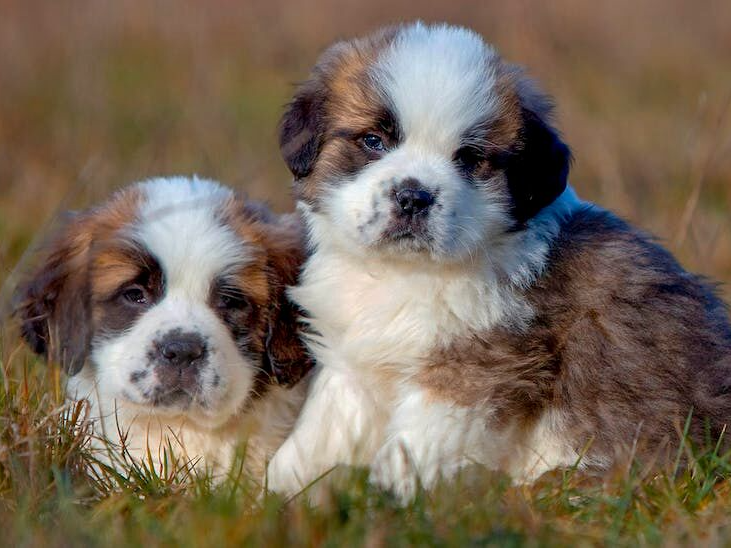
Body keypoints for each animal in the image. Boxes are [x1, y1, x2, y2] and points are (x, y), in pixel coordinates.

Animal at [266, 22, 731, 500]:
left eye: (469, 159)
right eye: (373, 141)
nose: (414, 196)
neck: (406, 274)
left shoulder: (472, 366)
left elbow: (418, 444)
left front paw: (394, 497)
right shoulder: (355, 359)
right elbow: (324, 427)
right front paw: (281, 491)